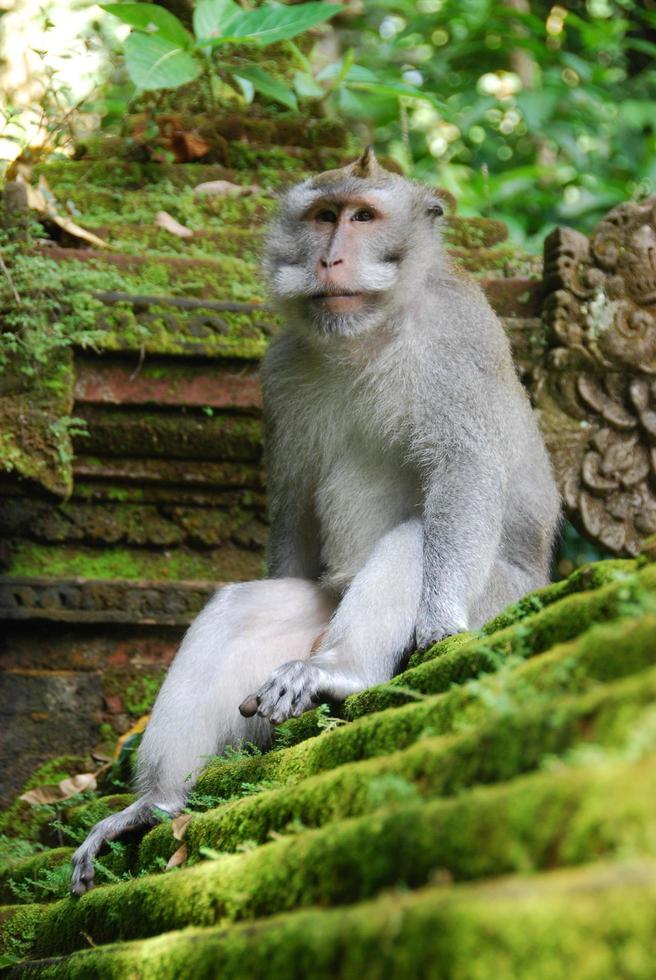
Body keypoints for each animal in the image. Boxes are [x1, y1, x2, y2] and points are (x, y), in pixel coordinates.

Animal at [73, 147, 564, 896]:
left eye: (363, 217)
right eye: (323, 216)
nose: (331, 258)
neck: (371, 333)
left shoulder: (455, 335)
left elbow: (467, 468)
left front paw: (437, 626)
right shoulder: (278, 366)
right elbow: (294, 511)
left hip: (503, 595)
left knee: (418, 537)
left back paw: (346, 673)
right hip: (320, 607)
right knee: (239, 609)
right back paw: (155, 804)